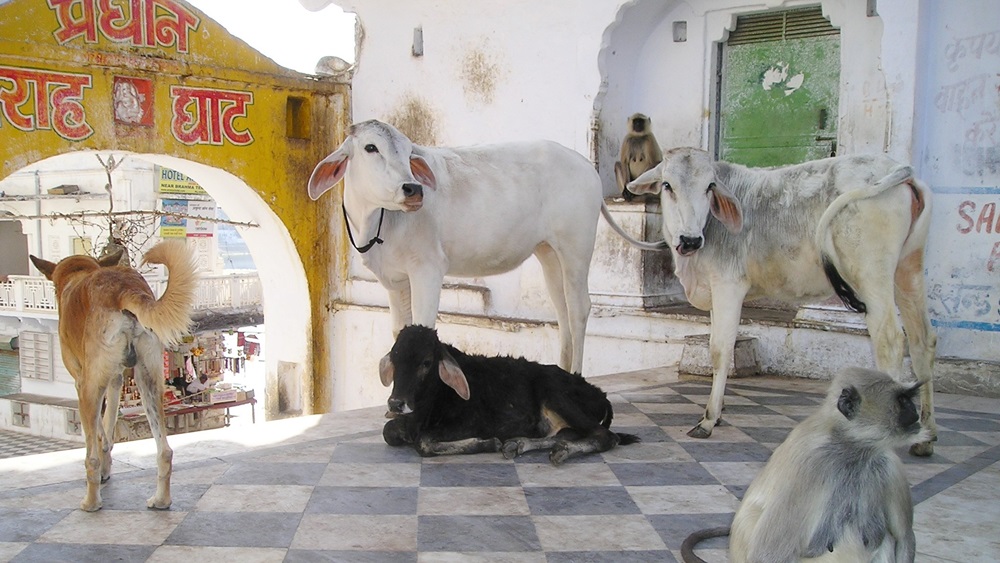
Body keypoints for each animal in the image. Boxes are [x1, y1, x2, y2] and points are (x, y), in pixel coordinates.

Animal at [30, 240, 198, 512]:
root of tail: (123, 288)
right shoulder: (116, 381)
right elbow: (108, 426)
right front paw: (108, 463)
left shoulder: (83, 383)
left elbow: (98, 431)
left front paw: (103, 466)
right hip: (148, 381)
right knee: (164, 451)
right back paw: (161, 500)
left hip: (91, 388)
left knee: (90, 458)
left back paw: (91, 501)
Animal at [306, 120, 600, 374]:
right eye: (370, 147)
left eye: (409, 152)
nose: (413, 188)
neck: (375, 220)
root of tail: (586, 165)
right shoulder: (395, 281)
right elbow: (401, 331)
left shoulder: (427, 269)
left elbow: (423, 327)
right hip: (549, 252)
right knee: (562, 310)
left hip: (576, 248)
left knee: (578, 308)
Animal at [378, 324, 636, 464]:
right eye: (395, 357)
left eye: (426, 362)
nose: (396, 403)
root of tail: (600, 394)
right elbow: (388, 432)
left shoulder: (470, 423)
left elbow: (423, 442)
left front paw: (488, 442)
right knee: (567, 434)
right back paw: (517, 444)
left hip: (556, 393)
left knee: (604, 436)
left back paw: (560, 452)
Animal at [632, 148, 936, 456]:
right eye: (667, 185)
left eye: (709, 186)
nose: (690, 240)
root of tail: (898, 169)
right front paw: (718, 413)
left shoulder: (728, 286)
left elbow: (720, 350)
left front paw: (708, 419)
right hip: (908, 270)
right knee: (923, 340)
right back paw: (926, 437)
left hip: (872, 276)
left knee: (891, 342)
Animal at [684, 366, 924, 563]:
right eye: (902, 401)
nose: (915, 411)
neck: (852, 450)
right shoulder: (811, 464)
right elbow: (767, 554)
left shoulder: (889, 464)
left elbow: (904, 536)